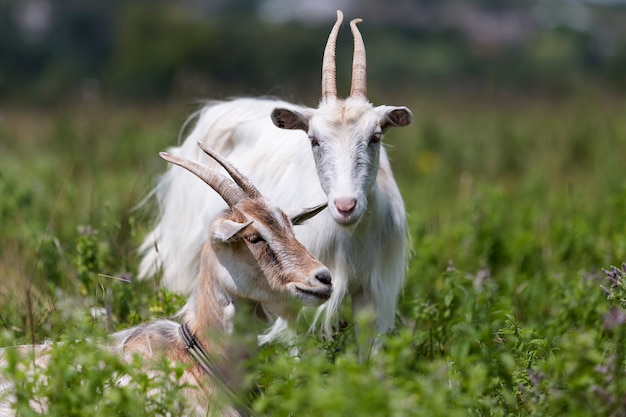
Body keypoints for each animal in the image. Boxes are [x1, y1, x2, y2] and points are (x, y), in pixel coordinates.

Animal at [138, 9, 410, 342]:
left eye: (375, 137)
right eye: (314, 140)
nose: (345, 206)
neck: (352, 237)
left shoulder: (374, 296)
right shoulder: (297, 295)